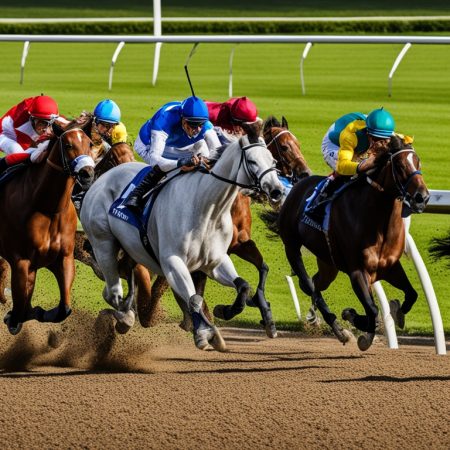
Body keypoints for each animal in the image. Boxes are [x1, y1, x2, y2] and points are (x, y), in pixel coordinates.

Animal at [0, 124, 95, 334]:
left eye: (90, 143)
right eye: (68, 145)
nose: (87, 174)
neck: (48, 207)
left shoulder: (62, 258)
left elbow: (63, 308)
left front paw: (38, 312)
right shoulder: (21, 261)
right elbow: (20, 305)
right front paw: (13, 318)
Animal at [79, 134, 284, 352]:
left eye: (273, 161)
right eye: (252, 161)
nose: (277, 191)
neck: (208, 208)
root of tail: (99, 180)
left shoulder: (215, 262)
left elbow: (243, 286)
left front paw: (225, 311)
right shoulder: (173, 263)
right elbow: (193, 298)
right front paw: (203, 333)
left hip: (129, 249)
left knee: (116, 287)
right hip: (103, 244)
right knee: (113, 293)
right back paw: (124, 318)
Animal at [262, 134, 430, 352]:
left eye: (418, 162)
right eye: (400, 165)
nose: (422, 197)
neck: (378, 223)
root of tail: (296, 186)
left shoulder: (390, 266)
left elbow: (411, 294)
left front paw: (395, 312)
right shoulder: (357, 271)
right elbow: (372, 310)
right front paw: (357, 323)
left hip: (328, 263)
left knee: (316, 283)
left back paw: (319, 321)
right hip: (291, 246)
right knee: (309, 284)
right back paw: (340, 330)